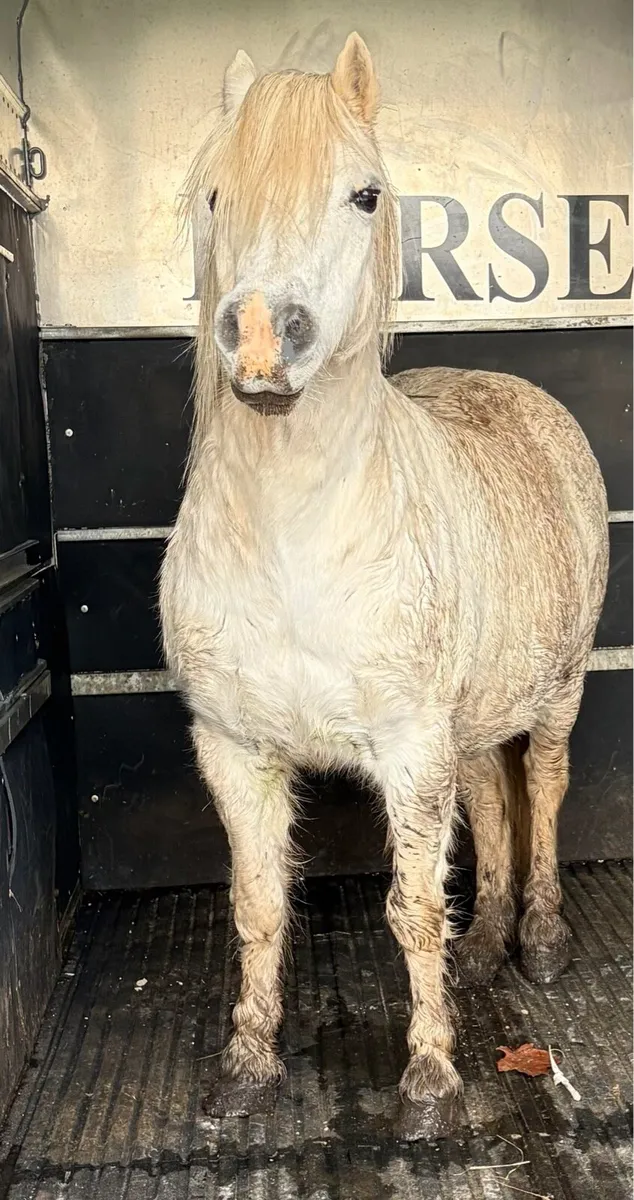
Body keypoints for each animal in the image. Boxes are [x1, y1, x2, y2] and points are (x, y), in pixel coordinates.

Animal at [159, 33, 608, 1139]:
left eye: (363, 194)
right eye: (214, 194)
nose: (261, 335)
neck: (293, 545)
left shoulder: (409, 750)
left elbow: (410, 908)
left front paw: (433, 1079)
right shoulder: (234, 748)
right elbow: (257, 904)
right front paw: (245, 1066)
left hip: (559, 689)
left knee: (541, 787)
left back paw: (539, 938)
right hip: (474, 720)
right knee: (491, 796)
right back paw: (486, 945)